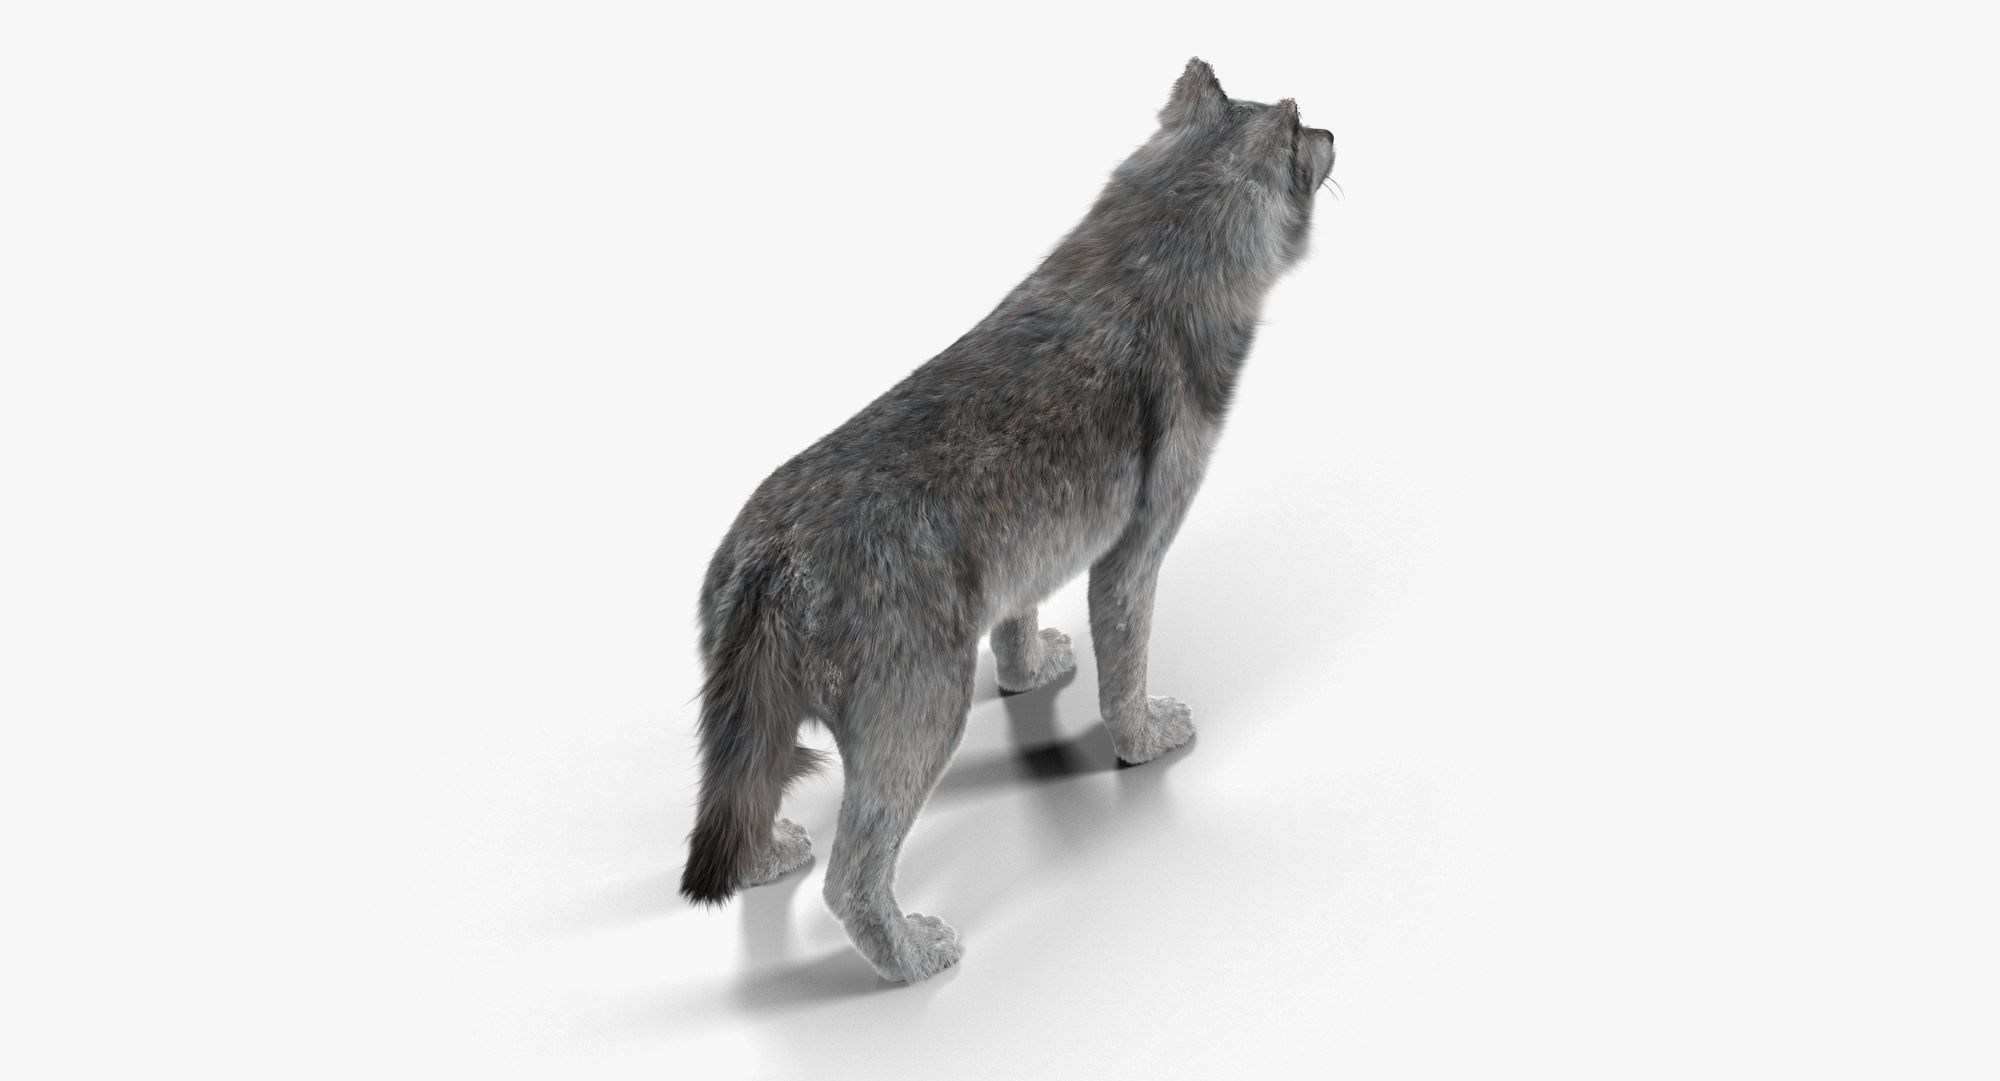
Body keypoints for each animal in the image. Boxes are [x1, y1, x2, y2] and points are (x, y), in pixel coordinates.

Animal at [678, 58, 1336, 982]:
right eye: (1304, 127)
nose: (1336, 132)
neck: (1157, 235)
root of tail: (772, 555)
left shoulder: (1032, 553)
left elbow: (1021, 623)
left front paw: (1033, 672)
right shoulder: (1133, 554)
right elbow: (1125, 671)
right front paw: (1145, 739)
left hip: (754, 722)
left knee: (744, 811)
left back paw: (770, 858)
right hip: (924, 716)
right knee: (851, 877)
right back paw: (915, 954)